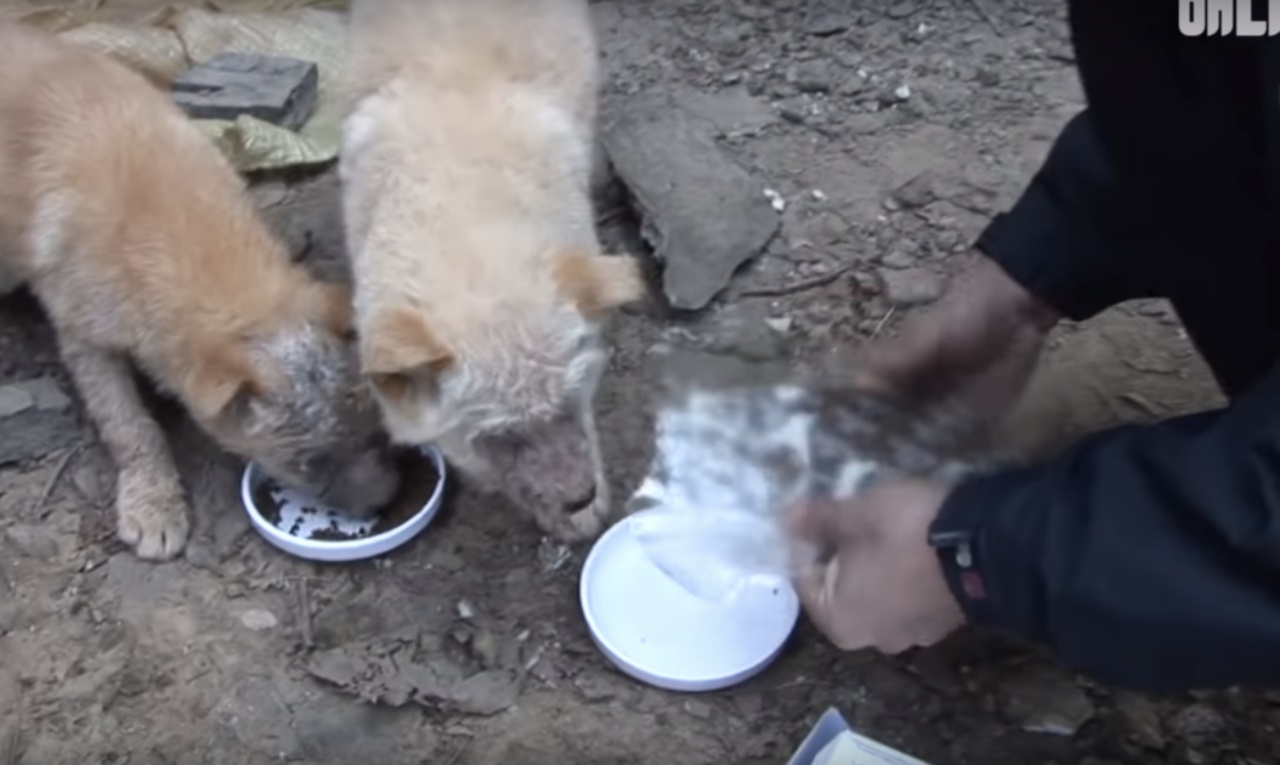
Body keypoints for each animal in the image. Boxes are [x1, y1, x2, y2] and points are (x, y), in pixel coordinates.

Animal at [0, 25, 396, 562]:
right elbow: (128, 424)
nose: (387, 499)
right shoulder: (84, 336)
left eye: (372, 426)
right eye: (310, 463)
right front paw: (152, 504)